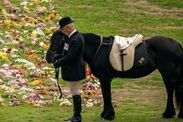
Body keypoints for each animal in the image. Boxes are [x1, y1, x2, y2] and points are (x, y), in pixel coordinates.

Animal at [45, 30, 183, 120]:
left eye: (57, 40)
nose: (48, 57)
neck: (98, 49)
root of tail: (176, 44)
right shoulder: (104, 78)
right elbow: (105, 95)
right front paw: (105, 113)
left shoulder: (105, 78)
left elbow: (107, 95)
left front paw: (108, 115)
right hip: (166, 74)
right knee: (170, 90)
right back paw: (168, 113)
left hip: (169, 72)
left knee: (176, 89)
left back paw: (177, 114)